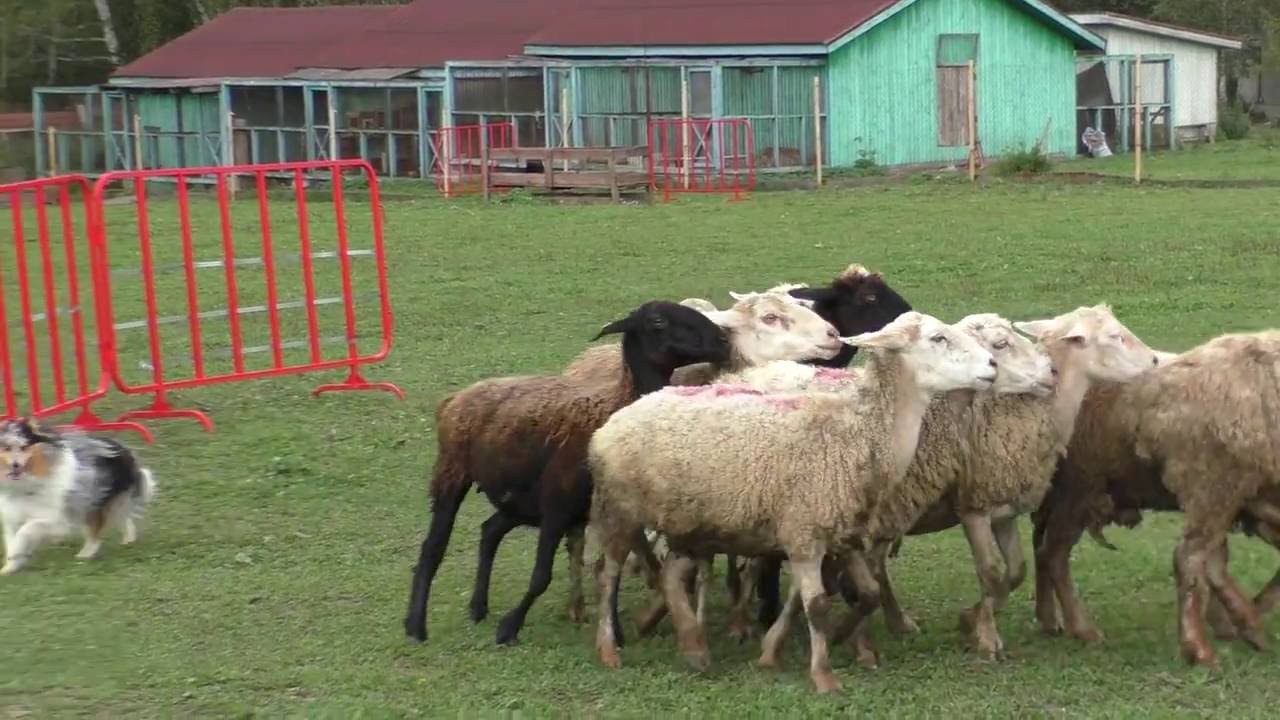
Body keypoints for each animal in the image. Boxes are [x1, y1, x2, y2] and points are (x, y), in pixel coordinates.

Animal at [587, 311, 999, 693]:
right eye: (938, 338)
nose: (993, 366)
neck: (855, 433)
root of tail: (621, 416)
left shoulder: (842, 531)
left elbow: (867, 594)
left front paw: (834, 637)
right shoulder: (804, 534)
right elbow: (816, 605)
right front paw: (823, 675)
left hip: (692, 523)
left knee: (671, 576)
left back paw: (695, 649)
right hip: (620, 508)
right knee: (608, 575)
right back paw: (609, 649)